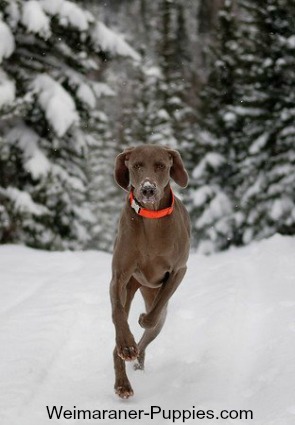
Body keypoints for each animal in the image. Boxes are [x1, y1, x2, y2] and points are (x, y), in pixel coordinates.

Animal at [110, 144, 191, 396]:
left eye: (160, 166)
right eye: (137, 165)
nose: (147, 189)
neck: (151, 217)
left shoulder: (178, 271)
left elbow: (153, 315)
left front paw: (143, 318)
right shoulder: (119, 276)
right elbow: (117, 313)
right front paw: (127, 345)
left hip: (154, 298)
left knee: (149, 334)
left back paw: (137, 361)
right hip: (131, 286)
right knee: (118, 339)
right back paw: (123, 381)